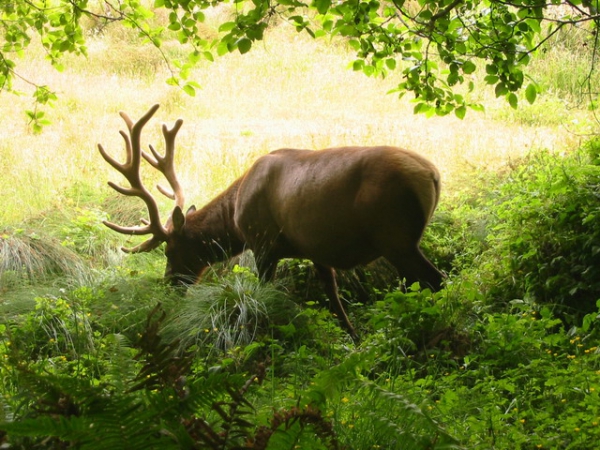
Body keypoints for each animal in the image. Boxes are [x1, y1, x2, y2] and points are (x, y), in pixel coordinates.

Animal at [99, 103, 446, 340]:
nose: (169, 282)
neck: (234, 218)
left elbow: (265, 294)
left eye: (170, 249)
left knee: (435, 278)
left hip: (396, 236)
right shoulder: (316, 250)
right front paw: (353, 338)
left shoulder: (263, 242)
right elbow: (333, 297)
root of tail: (432, 174)